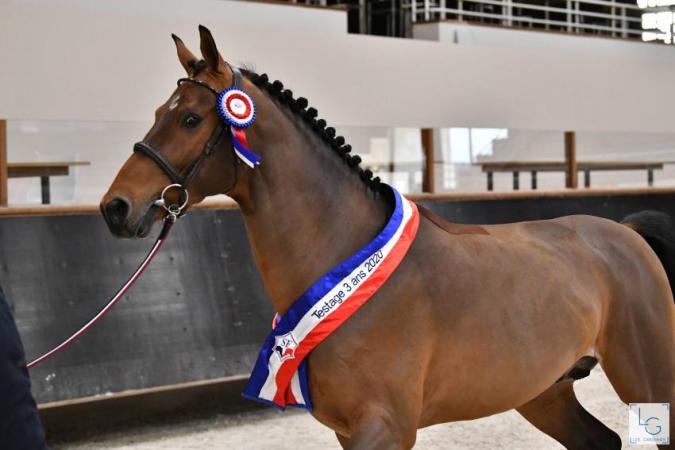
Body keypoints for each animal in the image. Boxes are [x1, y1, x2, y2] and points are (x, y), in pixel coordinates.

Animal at [101, 26, 674, 449]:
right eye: (159, 114)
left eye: (190, 118)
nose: (115, 208)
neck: (344, 256)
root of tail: (625, 234)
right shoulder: (349, 431)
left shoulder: (387, 428)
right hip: (545, 392)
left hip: (648, 379)